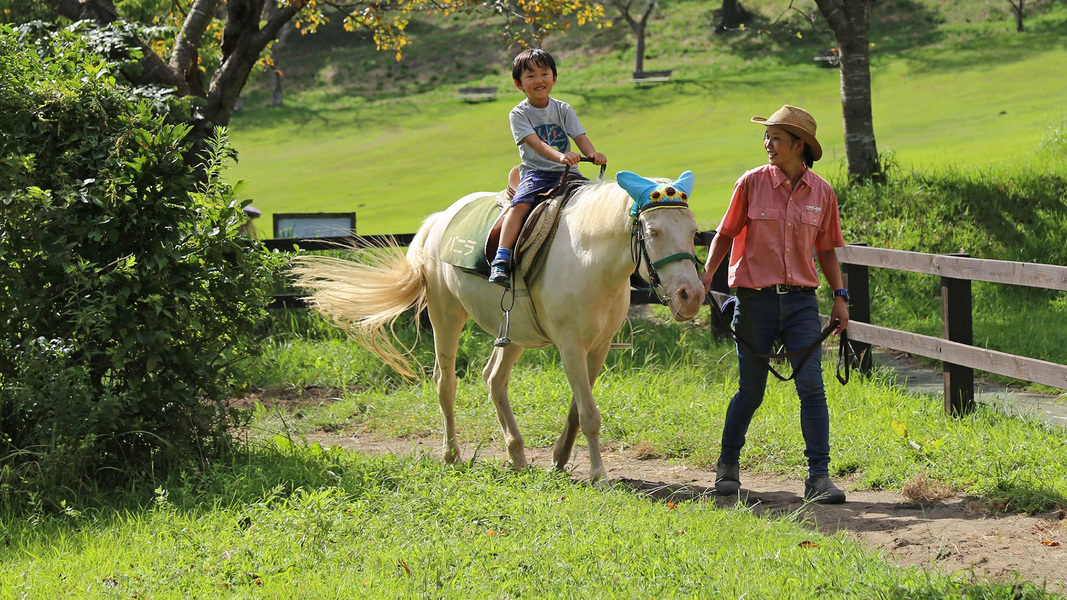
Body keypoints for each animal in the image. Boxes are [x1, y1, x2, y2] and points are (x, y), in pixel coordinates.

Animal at [294, 170, 708, 478]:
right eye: (653, 232)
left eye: (693, 232)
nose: (691, 296)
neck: (590, 258)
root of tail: (438, 220)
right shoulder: (570, 346)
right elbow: (590, 414)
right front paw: (598, 475)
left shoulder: (599, 347)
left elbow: (578, 409)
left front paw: (559, 458)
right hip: (446, 316)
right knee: (445, 382)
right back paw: (452, 455)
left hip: (515, 333)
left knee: (494, 378)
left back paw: (517, 454)